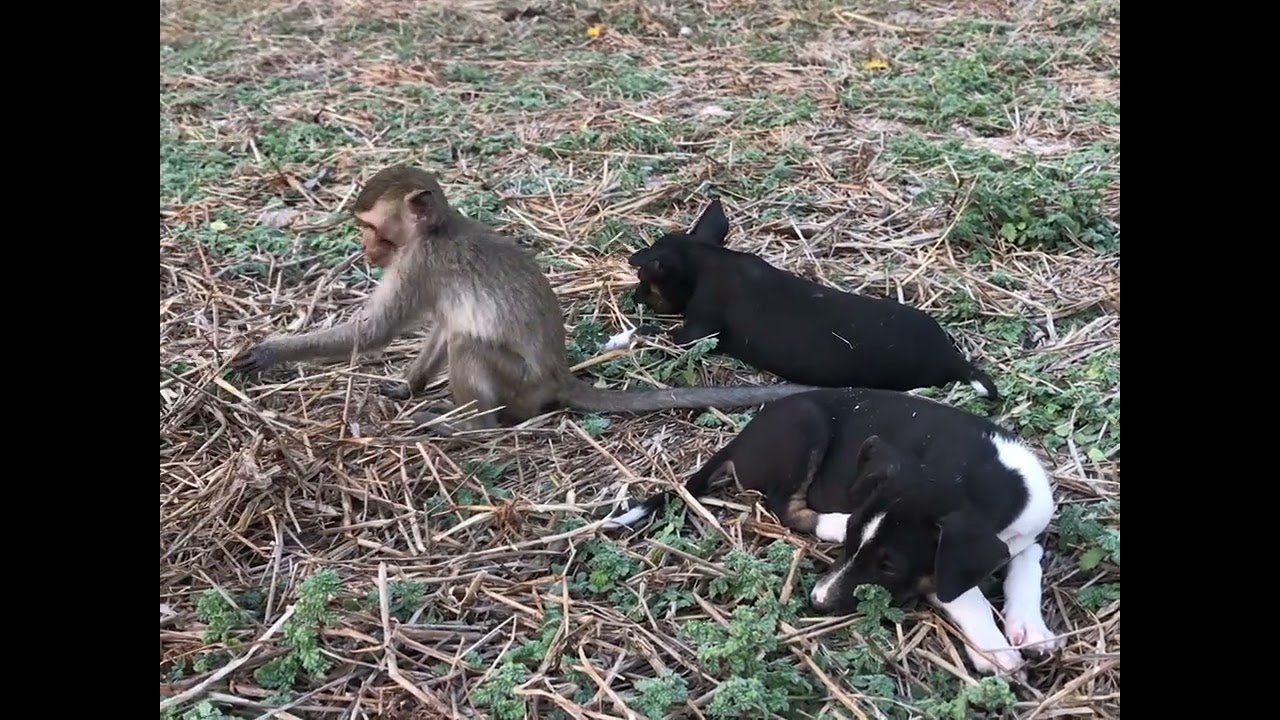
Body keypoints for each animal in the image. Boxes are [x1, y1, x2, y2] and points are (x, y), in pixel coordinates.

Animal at [232, 166, 818, 432]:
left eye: (373, 227)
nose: (364, 247)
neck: (436, 231)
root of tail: (558, 377)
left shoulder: (416, 263)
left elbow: (377, 332)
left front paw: (270, 351)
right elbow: (439, 326)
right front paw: (408, 386)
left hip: (521, 386)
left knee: (471, 347)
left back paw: (470, 427)